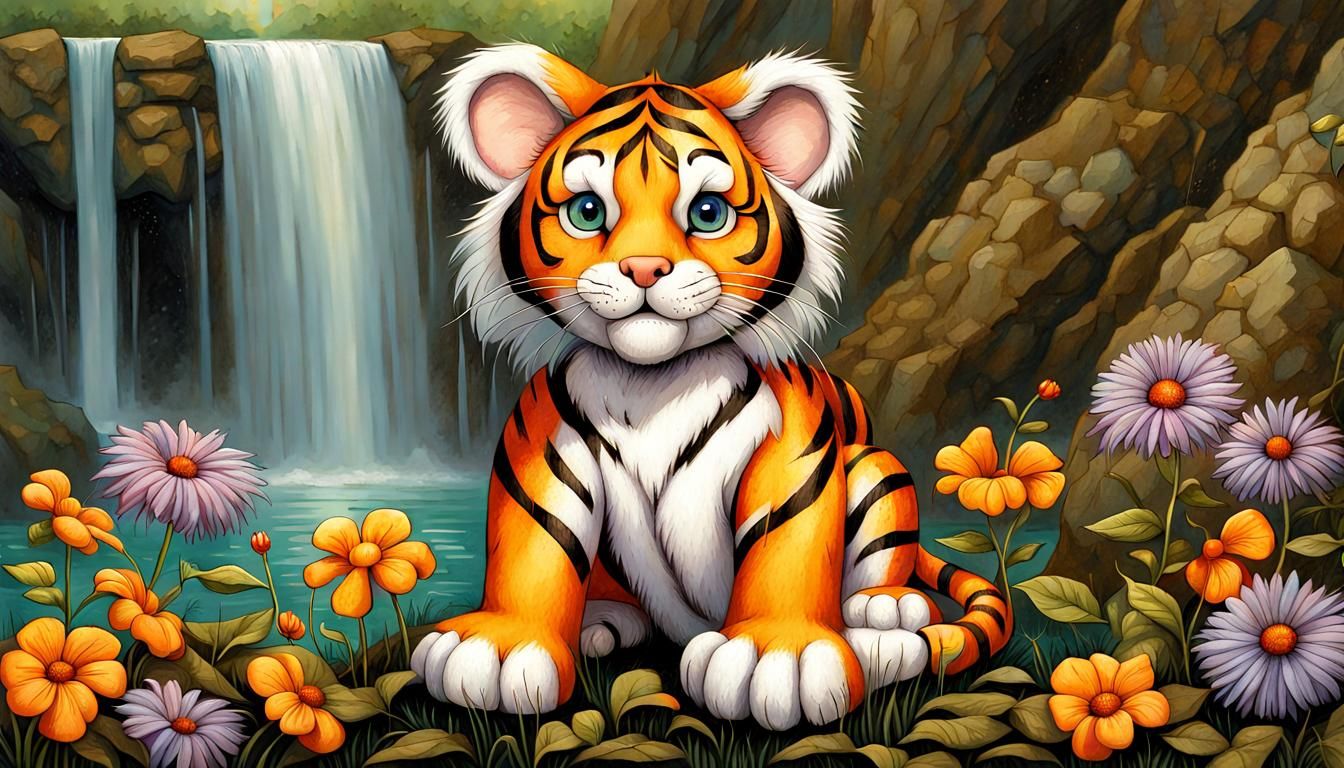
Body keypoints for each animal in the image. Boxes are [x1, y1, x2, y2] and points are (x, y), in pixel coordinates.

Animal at [409, 44, 1011, 731]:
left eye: (708, 213)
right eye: (587, 212)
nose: (645, 268)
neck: (650, 382)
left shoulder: (794, 455)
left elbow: (787, 542)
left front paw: (777, 658)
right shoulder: (539, 446)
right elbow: (536, 539)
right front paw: (495, 648)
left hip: (875, 468)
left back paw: (886, 617)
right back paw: (602, 618)